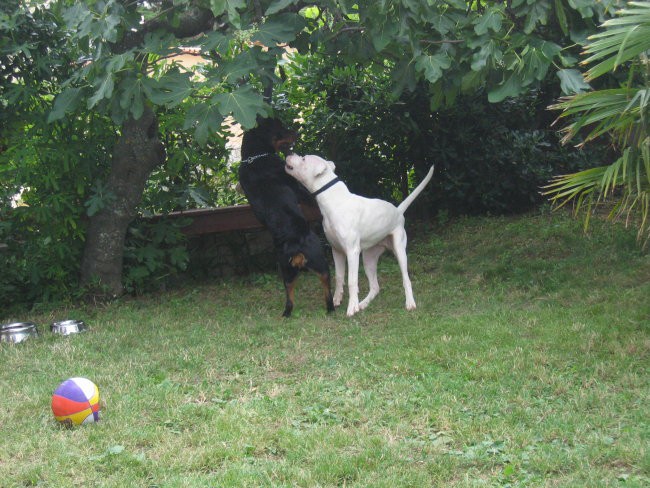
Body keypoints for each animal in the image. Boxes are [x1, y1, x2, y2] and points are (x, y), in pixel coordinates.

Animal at [237, 118, 334, 316]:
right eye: (280, 127)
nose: (296, 132)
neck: (254, 157)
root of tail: (295, 246)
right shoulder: (297, 188)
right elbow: (311, 198)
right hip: (320, 260)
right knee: (326, 285)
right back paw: (331, 307)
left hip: (287, 270)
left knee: (289, 296)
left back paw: (287, 313)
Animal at [284, 155, 432, 316]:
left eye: (304, 158)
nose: (289, 154)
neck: (334, 201)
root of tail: (398, 211)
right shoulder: (337, 251)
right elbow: (339, 277)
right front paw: (336, 299)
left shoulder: (352, 252)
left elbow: (352, 281)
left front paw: (351, 307)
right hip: (368, 259)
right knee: (375, 287)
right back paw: (363, 304)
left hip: (399, 250)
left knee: (406, 278)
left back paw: (409, 303)